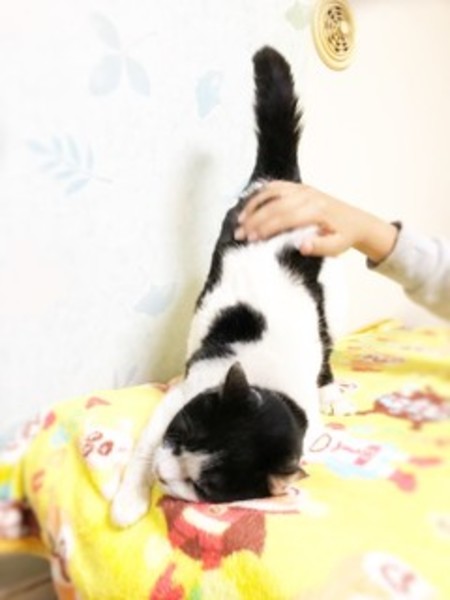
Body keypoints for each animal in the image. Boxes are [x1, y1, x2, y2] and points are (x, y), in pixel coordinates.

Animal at [111, 46, 352, 527]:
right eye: (182, 432)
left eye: (204, 487)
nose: (164, 476)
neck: (266, 382)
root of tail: (277, 179)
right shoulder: (177, 398)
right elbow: (145, 446)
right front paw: (129, 502)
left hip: (317, 292)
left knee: (325, 339)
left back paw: (331, 391)